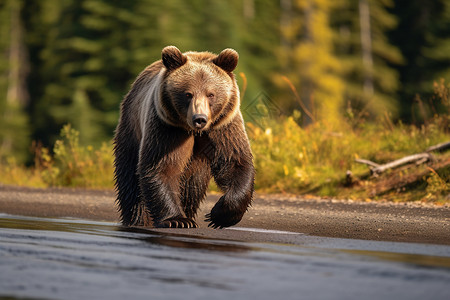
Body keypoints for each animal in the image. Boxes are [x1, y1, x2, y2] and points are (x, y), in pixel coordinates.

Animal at [113, 45, 253, 229]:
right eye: (188, 94)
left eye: (211, 94)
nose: (199, 118)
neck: (194, 131)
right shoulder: (167, 128)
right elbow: (162, 166)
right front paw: (177, 220)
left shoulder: (223, 128)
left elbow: (235, 162)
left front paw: (218, 215)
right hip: (131, 127)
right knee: (130, 178)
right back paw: (138, 219)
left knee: (192, 187)